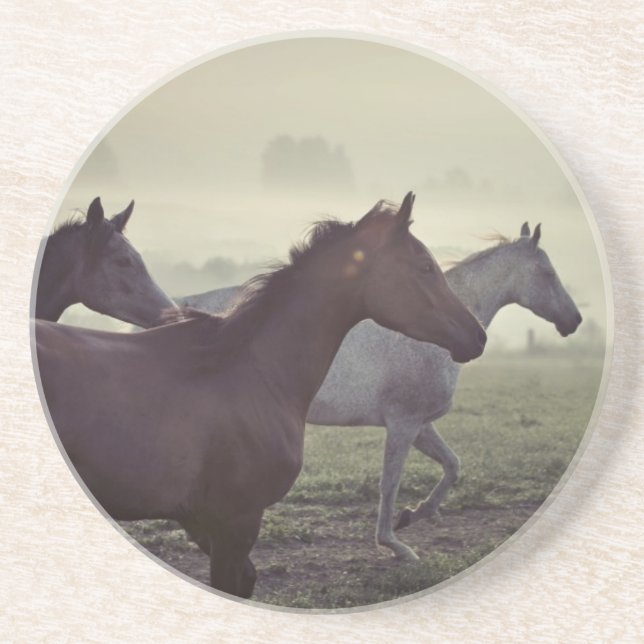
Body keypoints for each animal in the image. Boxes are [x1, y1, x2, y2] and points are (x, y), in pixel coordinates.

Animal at [179, 222, 582, 561]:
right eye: (547, 273)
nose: (574, 320)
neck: (429, 334)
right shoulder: (403, 424)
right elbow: (390, 483)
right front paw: (395, 544)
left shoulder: (420, 425)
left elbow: (452, 465)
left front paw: (416, 514)